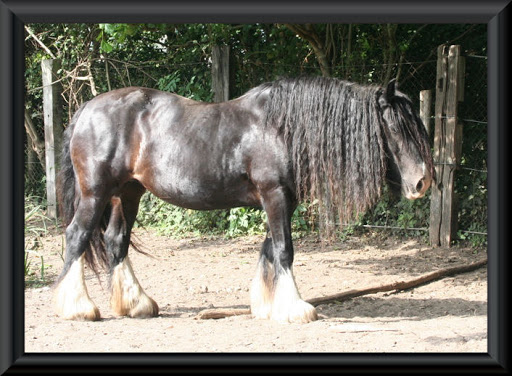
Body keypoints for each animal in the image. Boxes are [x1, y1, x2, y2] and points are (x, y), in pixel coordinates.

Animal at [55, 76, 432, 324]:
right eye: (395, 127)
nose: (423, 181)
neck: (281, 128)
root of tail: (86, 110)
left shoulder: (281, 200)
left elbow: (269, 250)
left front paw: (267, 306)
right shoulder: (274, 193)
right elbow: (284, 250)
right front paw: (295, 308)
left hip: (127, 193)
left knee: (116, 240)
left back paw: (136, 305)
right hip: (96, 193)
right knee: (77, 236)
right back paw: (78, 308)